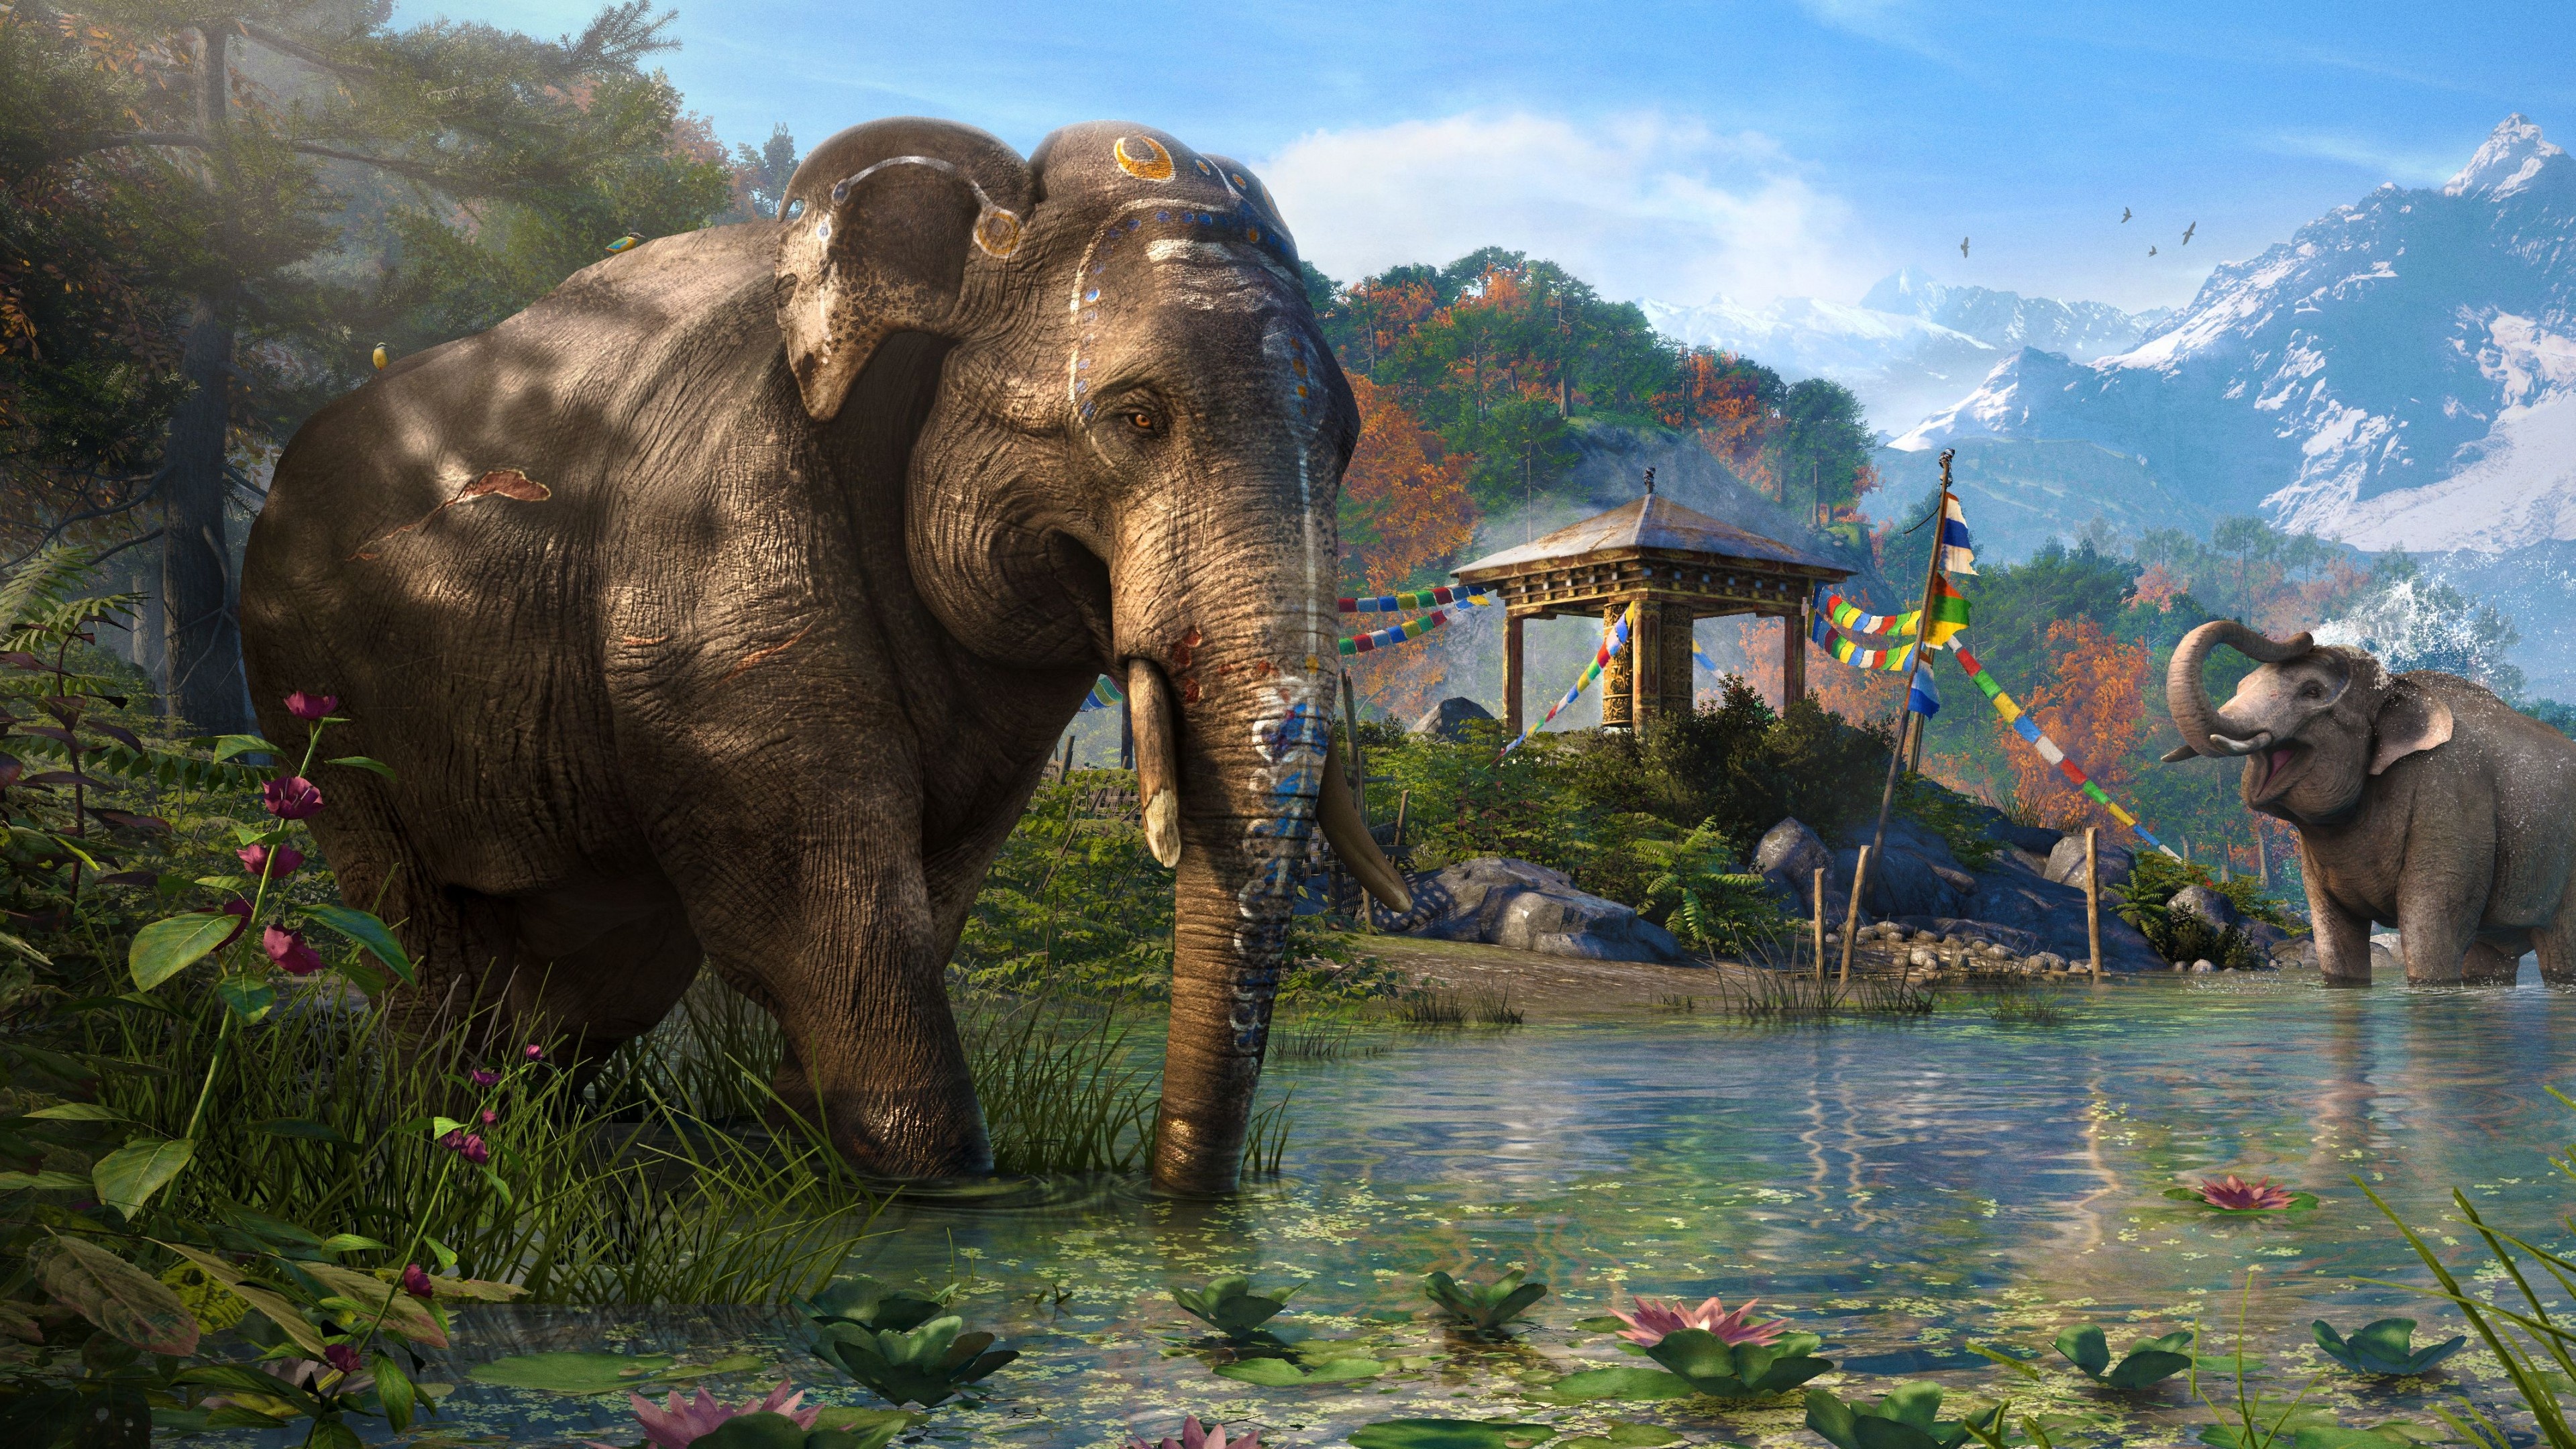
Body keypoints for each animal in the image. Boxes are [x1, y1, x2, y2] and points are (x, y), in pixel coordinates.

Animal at [237, 116, 1413, 1194]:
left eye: (1347, 446)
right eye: (1136, 418)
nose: (1178, 1199)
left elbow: (932, 882)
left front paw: (818, 1159)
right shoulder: (715, 542)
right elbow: (818, 891)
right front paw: (931, 1185)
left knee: (603, 967)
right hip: (308, 687)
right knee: (408, 926)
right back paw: (451, 1125)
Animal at [2163, 619, 2576, 985]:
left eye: (2312, 691)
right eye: (2242, 685)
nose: (2305, 635)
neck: (2396, 685)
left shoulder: (2451, 803)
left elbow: (2431, 932)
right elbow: (2335, 941)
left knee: (2558, 952)